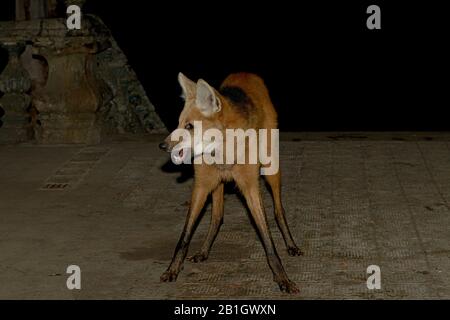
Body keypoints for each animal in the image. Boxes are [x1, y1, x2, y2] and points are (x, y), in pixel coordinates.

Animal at [158, 72, 302, 292]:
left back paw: (291, 245)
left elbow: (267, 239)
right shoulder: (202, 186)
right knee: (217, 216)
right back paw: (204, 250)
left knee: (279, 211)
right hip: (217, 185)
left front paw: (282, 278)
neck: (222, 155)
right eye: (179, 123)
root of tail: (247, 73)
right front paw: (172, 269)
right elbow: (184, 236)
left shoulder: (250, 186)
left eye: (190, 127)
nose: (163, 145)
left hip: (270, 168)